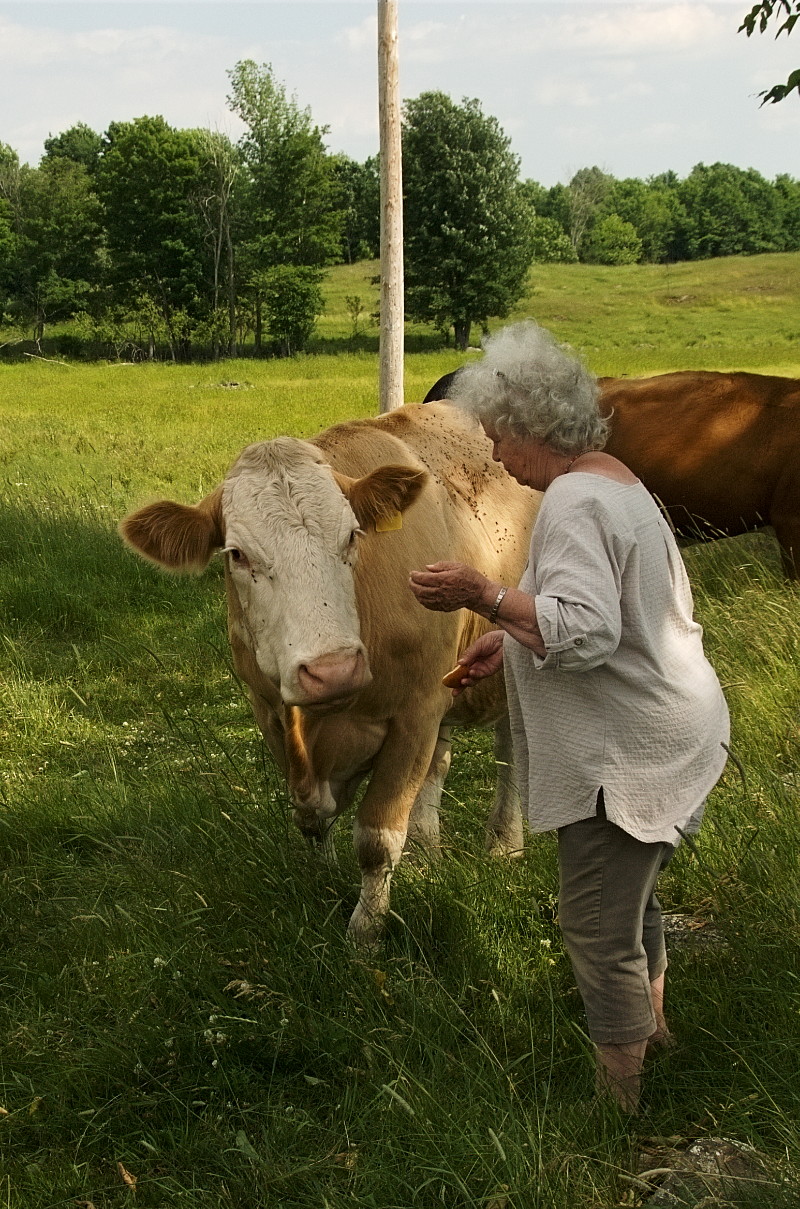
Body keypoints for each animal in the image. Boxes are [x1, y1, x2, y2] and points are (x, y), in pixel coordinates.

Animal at [120, 403, 546, 943]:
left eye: (351, 536)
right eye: (237, 554)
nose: (333, 671)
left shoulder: (415, 713)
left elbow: (377, 838)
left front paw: (365, 932)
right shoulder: (270, 713)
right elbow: (311, 818)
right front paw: (317, 882)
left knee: (510, 750)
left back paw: (504, 844)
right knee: (440, 762)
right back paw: (427, 852)